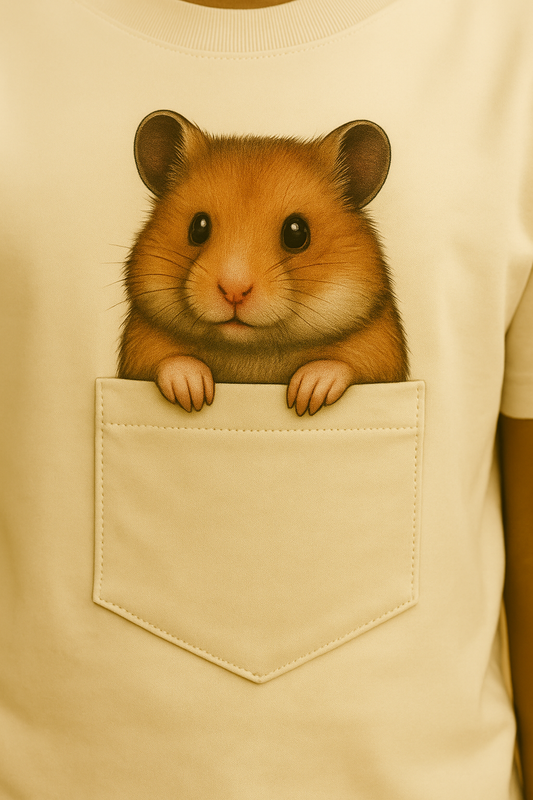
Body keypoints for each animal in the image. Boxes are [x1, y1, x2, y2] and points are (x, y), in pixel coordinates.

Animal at [118, 110, 408, 415]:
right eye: (198, 227)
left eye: (296, 233)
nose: (234, 292)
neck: (250, 352)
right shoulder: (138, 348)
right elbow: (169, 361)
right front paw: (192, 393)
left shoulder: (382, 352)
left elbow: (343, 364)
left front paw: (306, 397)